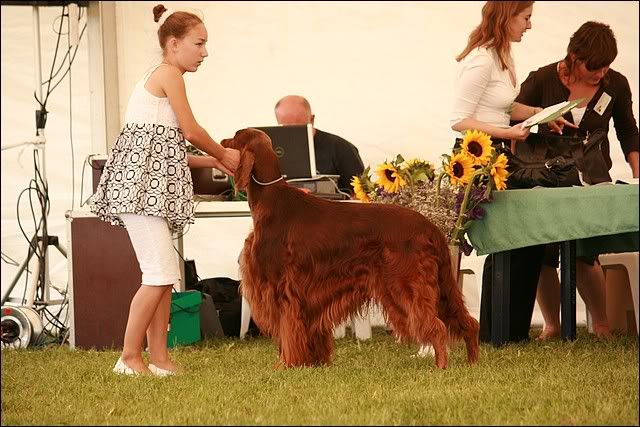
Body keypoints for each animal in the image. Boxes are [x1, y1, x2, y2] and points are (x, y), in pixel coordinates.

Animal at [222, 128, 479, 369]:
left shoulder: (283, 291)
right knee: (469, 323)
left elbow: (289, 334)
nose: (221, 141)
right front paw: (313, 363)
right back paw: (472, 362)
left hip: (406, 285)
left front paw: (286, 365)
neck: (271, 199)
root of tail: (430, 227)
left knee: (437, 328)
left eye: (235, 136)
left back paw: (441, 366)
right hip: (438, 286)